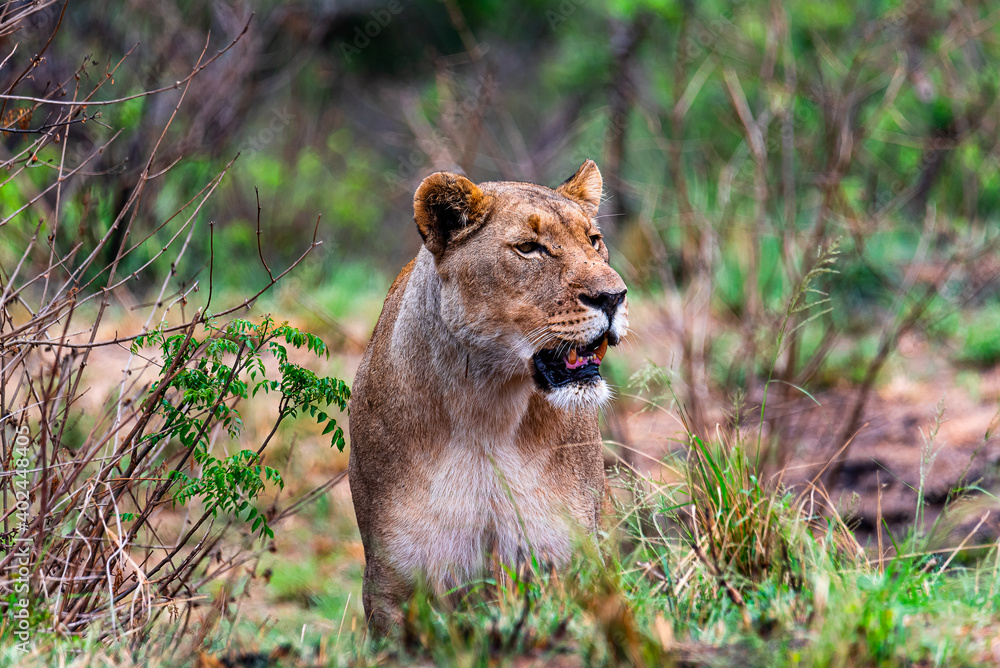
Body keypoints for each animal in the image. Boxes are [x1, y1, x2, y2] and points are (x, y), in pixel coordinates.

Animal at [347, 160, 628, 634]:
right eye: (529, 248)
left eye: (593, 239)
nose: (614, 297)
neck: (488, 408)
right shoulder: (392, 583)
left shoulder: (568, 559)